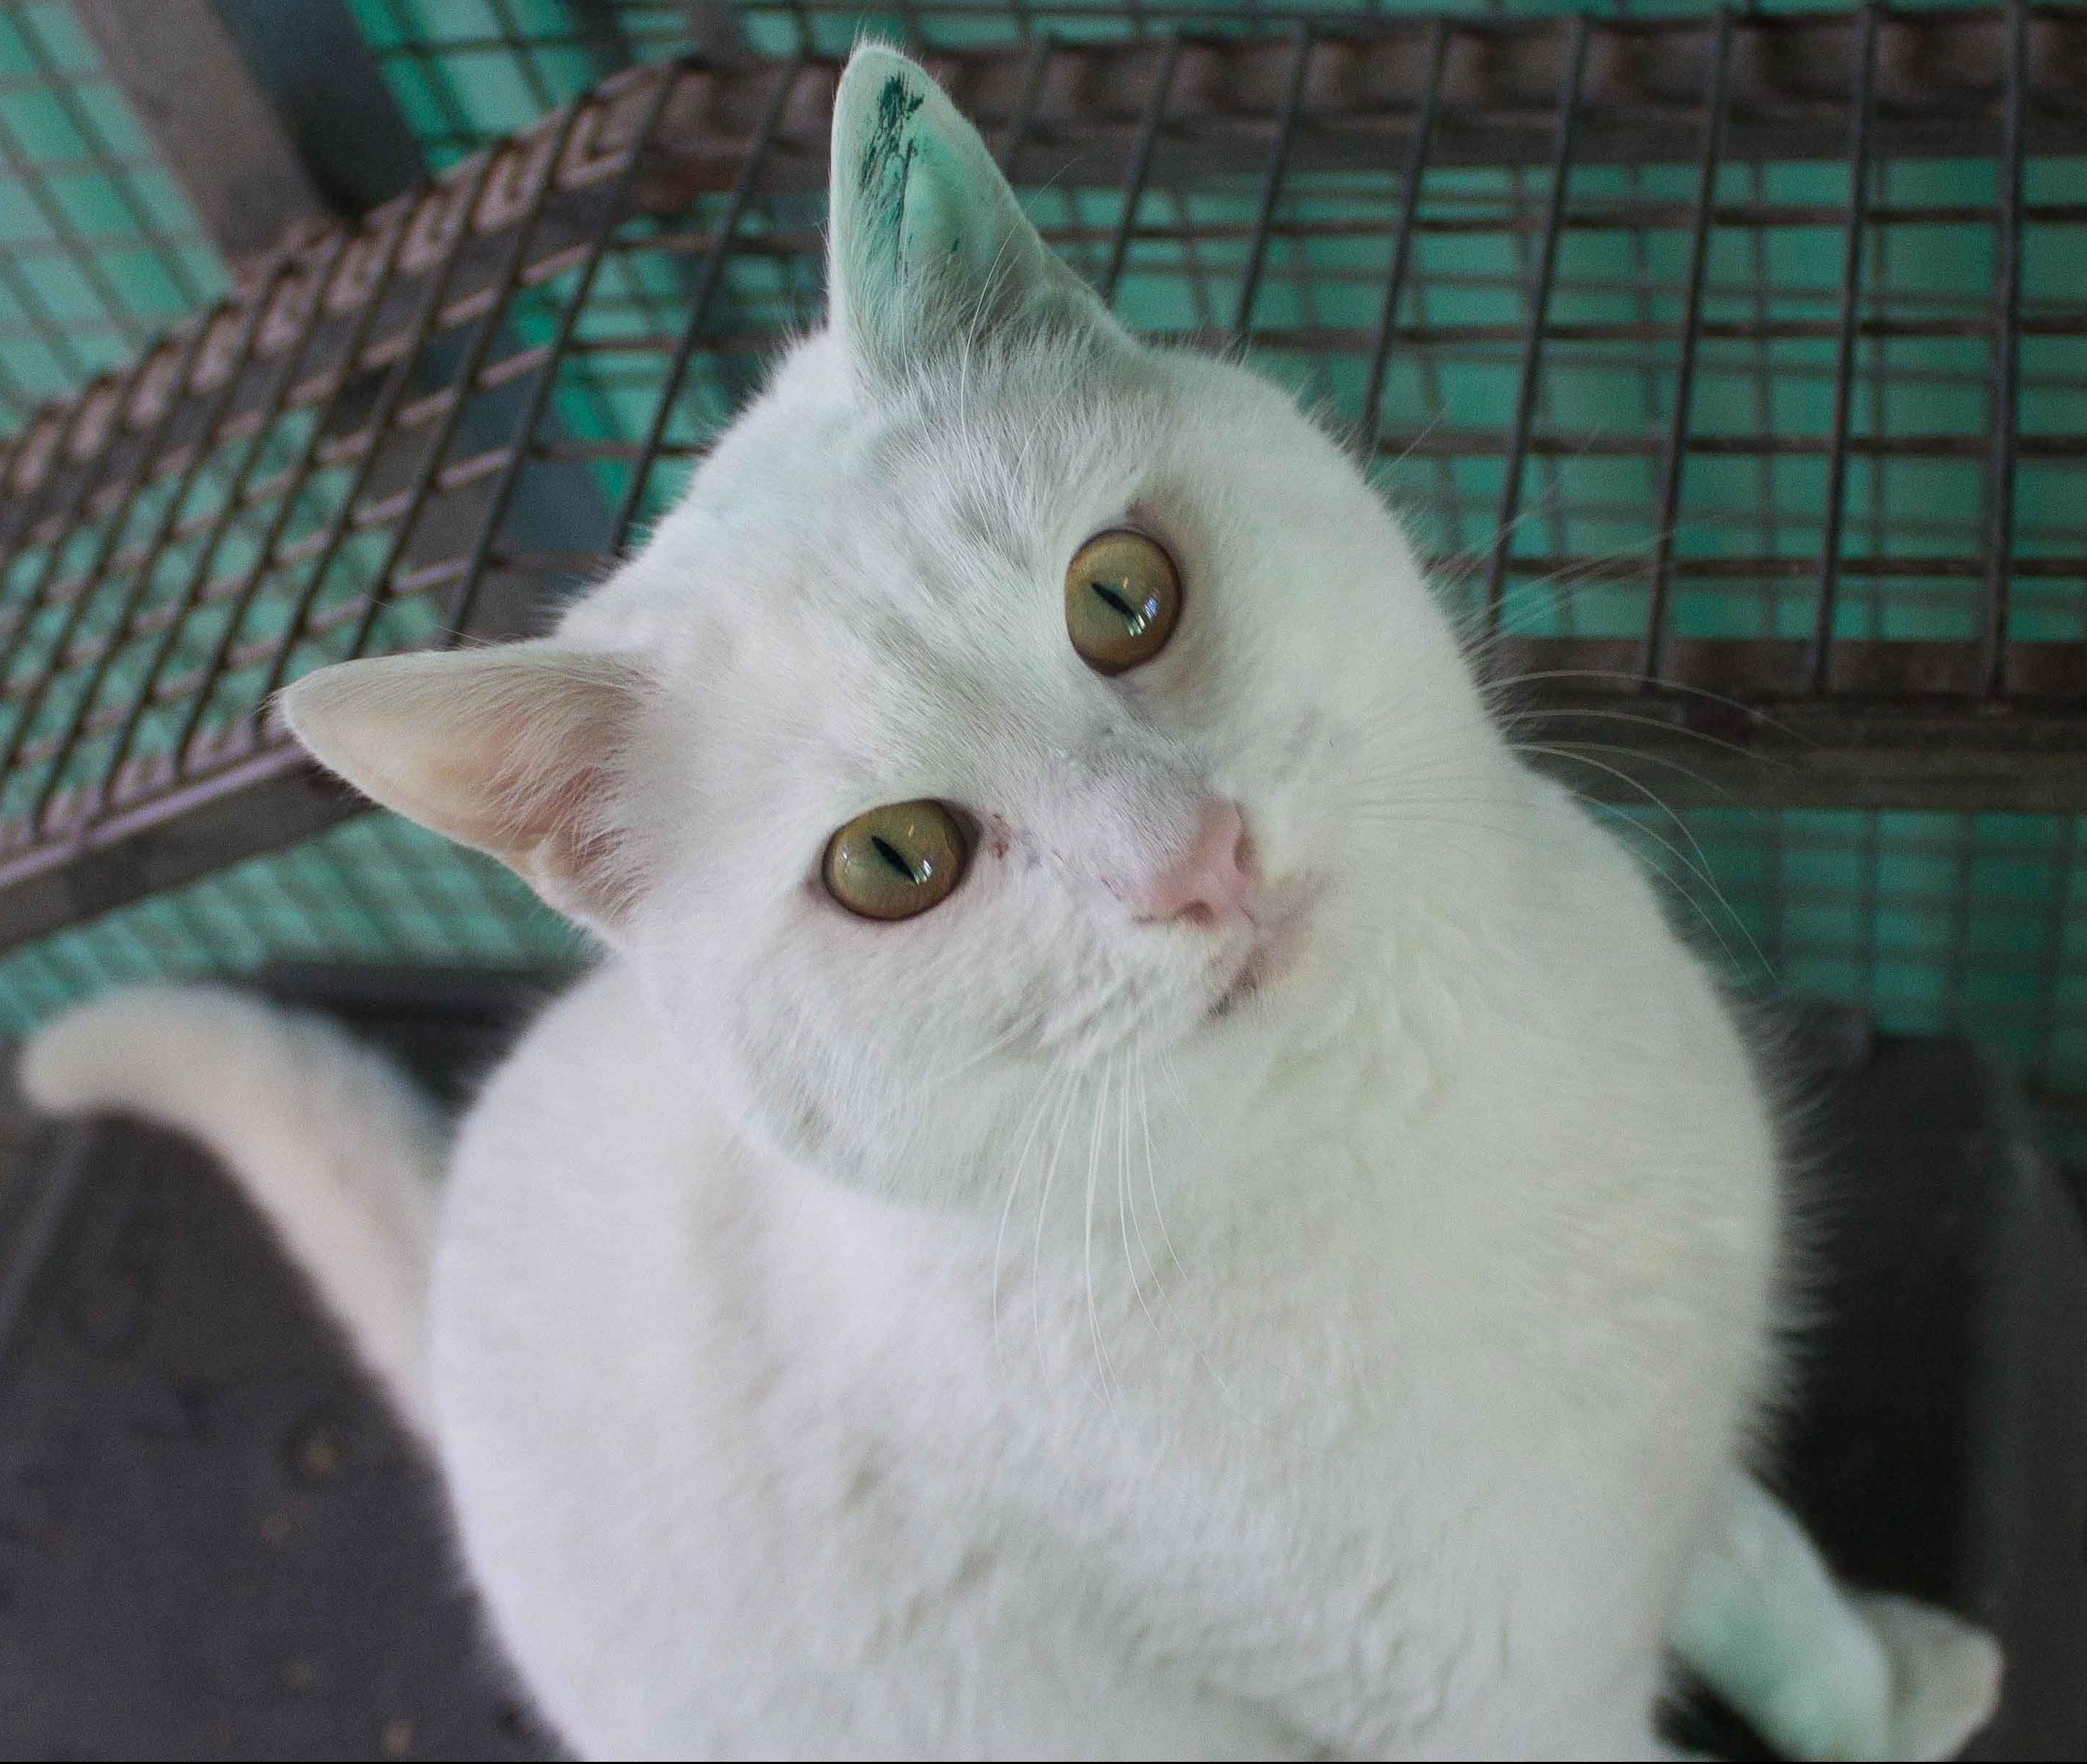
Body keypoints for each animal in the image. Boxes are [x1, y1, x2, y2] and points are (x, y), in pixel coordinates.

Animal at [21, 44, 2001, 1763]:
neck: (1414, 1115)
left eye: (1120, 595)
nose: (1188, 857)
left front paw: (1873, 1704)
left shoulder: (1677, 1474)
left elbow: (1763, 1578)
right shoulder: (1486, 1709)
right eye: (891, 864)